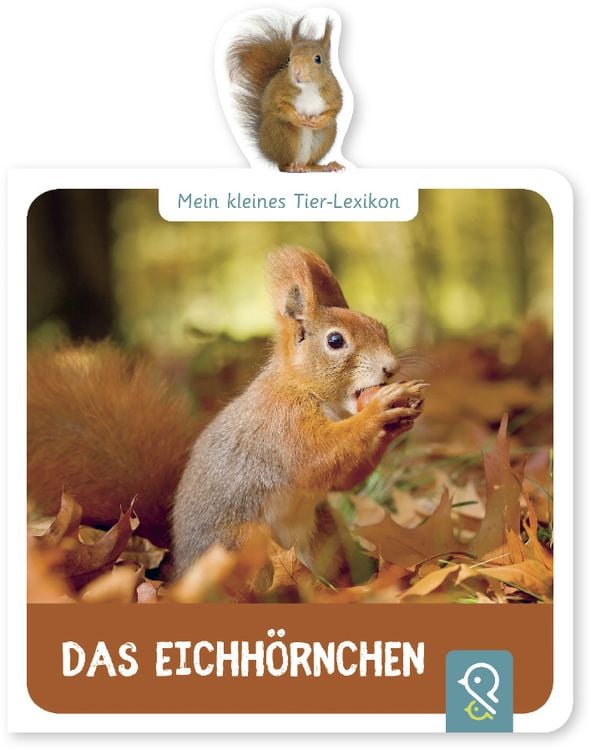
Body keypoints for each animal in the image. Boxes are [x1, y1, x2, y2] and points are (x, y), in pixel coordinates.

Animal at [27, 248, 427, 579]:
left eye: (381, 328)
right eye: (335, 341)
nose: (391, 368)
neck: (307, 390)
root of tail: (180, 567)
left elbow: (339, 478)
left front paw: (400, 417)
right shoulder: (280, 423)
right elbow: (314, 458)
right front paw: (380, 410)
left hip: (325, 533)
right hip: (243, 547)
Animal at [227, 16, 344, 173]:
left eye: (318, 59)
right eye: (289, 59)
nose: (296, 71)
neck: (308, 87)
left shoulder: (333, 92)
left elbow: (335, 109)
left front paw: (319, 121)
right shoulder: (279, 90)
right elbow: (280, 105)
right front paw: (297, 118)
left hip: (325, 135)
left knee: (311, 163)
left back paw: (326, 166)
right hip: (284, 135)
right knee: (282, 165)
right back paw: (292, 167)